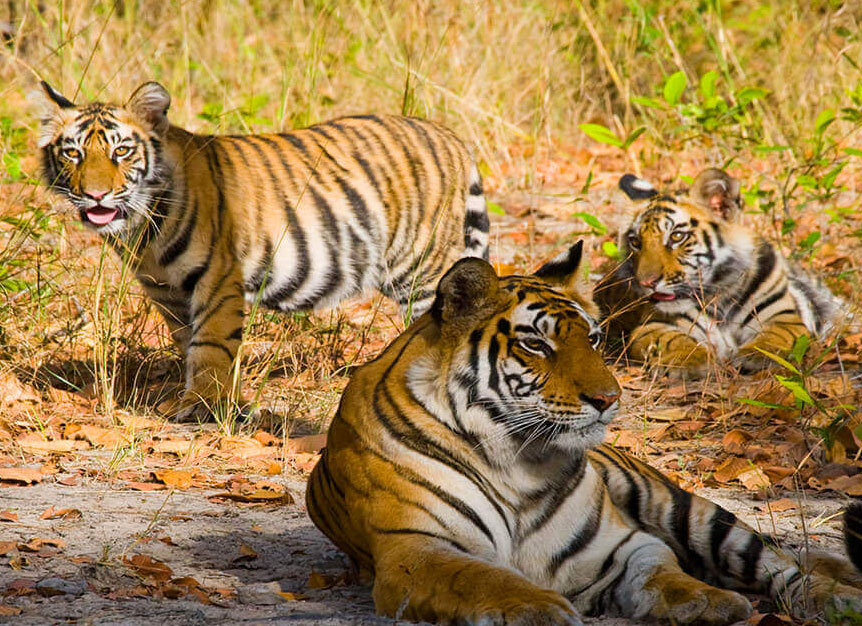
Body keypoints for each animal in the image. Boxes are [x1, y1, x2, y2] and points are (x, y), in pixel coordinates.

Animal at [35, 80, 489, 420]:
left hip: (421, 269)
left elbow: (211, 345)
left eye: (122, 151)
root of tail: (450, 137)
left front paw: (201, 405)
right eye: (73, 152)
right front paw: (224, 403)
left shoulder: (217, 277)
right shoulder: (167, 292)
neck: (142, 229)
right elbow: (189, 343)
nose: (96, 196)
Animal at [306, 240, 862, 625]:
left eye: (592, 339)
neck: (517, 461)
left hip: (689, 510)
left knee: (780, 564)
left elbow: (662, 571)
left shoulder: (620, 545)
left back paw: (837, 598)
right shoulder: (418, 548)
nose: (609, 399)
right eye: (535, 344)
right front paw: (538, 607)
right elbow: (482, 576)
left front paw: (705, 599)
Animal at [594, 168, 841, 377]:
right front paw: (688, 362)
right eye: (636, 242)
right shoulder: (653, 325)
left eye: (676, 236)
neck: (720, 294)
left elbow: (777, 335)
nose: (646, 282)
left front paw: (757, 354)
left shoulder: (784, 316)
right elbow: (672, 340)